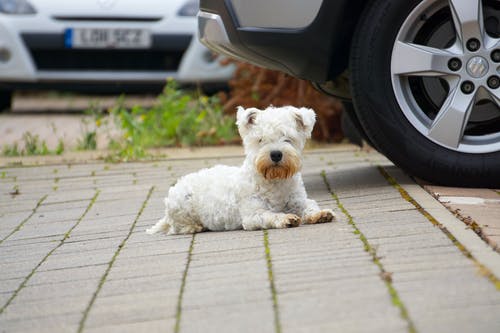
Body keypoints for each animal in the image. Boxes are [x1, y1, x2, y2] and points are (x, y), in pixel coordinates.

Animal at [147, 105, 336, 235]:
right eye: (260, 140)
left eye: (288, 138)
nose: (276, 154)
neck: (274, 181)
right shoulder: (253, 215)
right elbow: (270, 215)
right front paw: (285, 218)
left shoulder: (299, 201)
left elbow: (309, 207)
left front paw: (321, 214)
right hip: (181, 205)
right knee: (177, 227)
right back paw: (195, 227)